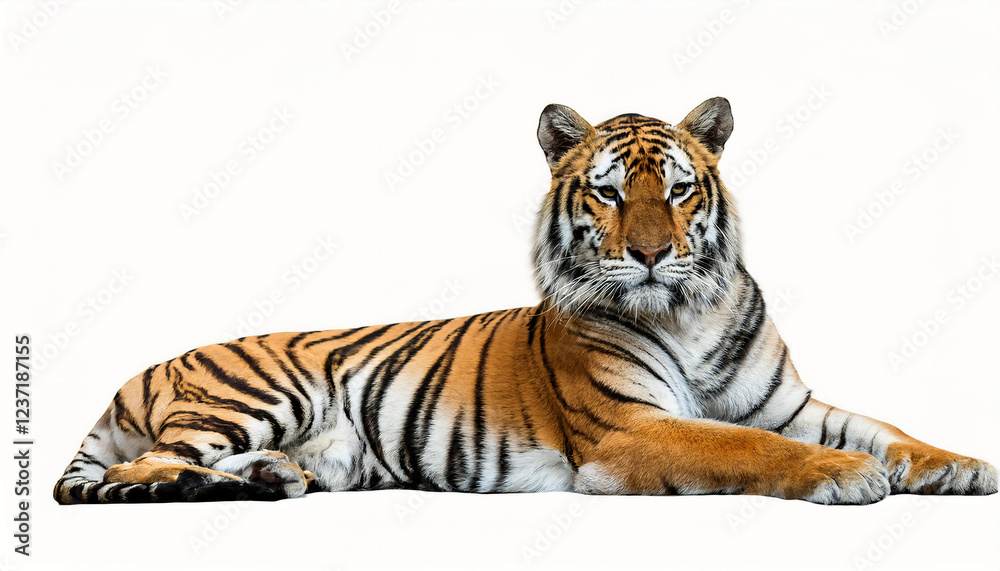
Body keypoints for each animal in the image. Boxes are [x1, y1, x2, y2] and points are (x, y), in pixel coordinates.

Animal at [54, 97, 997, 505]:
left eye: (680, 189)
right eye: (610, 193)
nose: (651, 253)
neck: (690, 312)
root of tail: (135, 373)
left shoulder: (791, 403)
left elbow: (883, 426)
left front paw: (960, 463)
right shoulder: (628, 428)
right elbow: (745, 446)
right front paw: (846, 475)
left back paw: (276, 478)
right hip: (253, 393)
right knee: (144, 464)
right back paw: (199, 484)